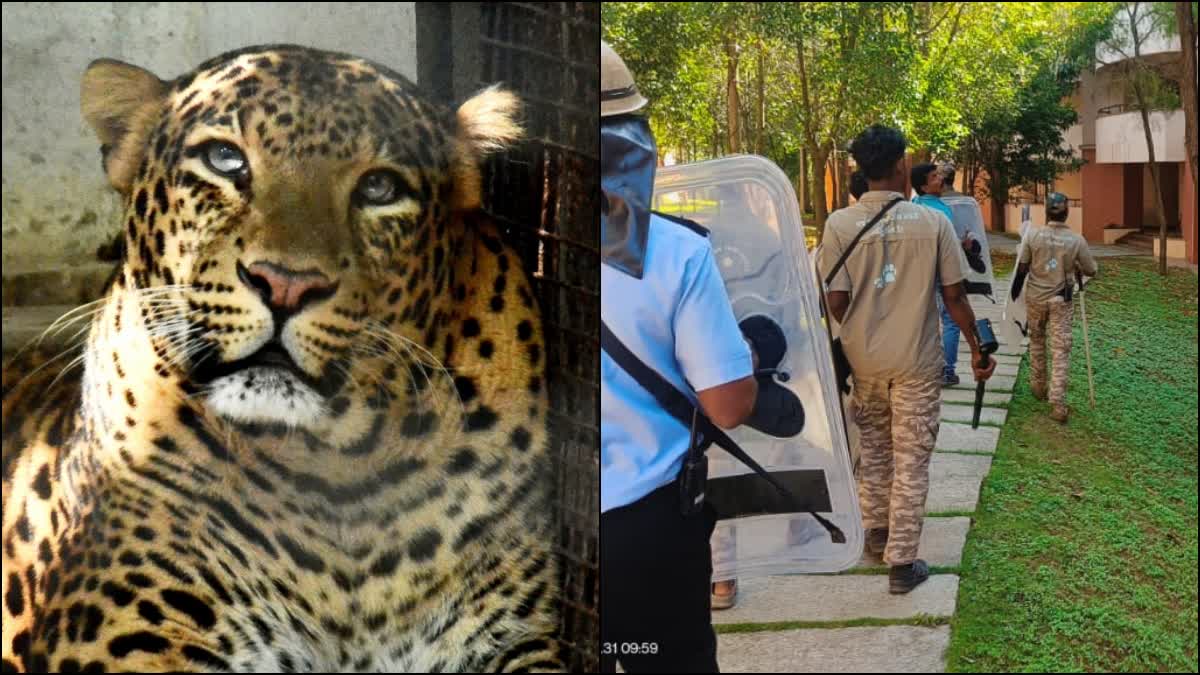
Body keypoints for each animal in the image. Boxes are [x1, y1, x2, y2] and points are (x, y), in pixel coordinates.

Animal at [1, 44, 561, 667]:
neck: (338, 468)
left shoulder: (512, 637)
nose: (287, 284)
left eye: (380, 188)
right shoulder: (125, 637)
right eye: (224, 160)